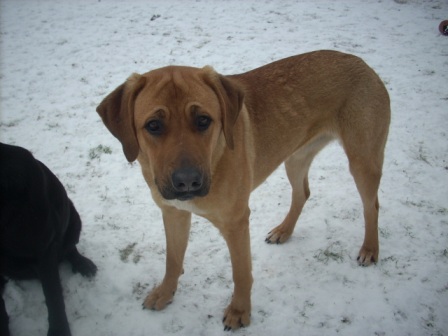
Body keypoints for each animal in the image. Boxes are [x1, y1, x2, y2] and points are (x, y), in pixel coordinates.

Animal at [0, 144, 97, 336]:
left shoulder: (44, 250)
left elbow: (54, 298)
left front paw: (59, 330)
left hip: (73, 217)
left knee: (69, 249)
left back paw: (83, 264)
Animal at [97, 50, 388, 330]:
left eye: (203, 120)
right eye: (153, 125)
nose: (187, 182)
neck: (215, 157)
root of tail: (361, 63)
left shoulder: (236, 223)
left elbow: (241, 273)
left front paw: (239, 312)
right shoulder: (173, 212)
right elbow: (172, 259)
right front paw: (165, 293)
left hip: (362, 160)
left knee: (371, 205)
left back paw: (370, 248)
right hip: (296, 156)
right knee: (302, 193)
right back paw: (284, 231)